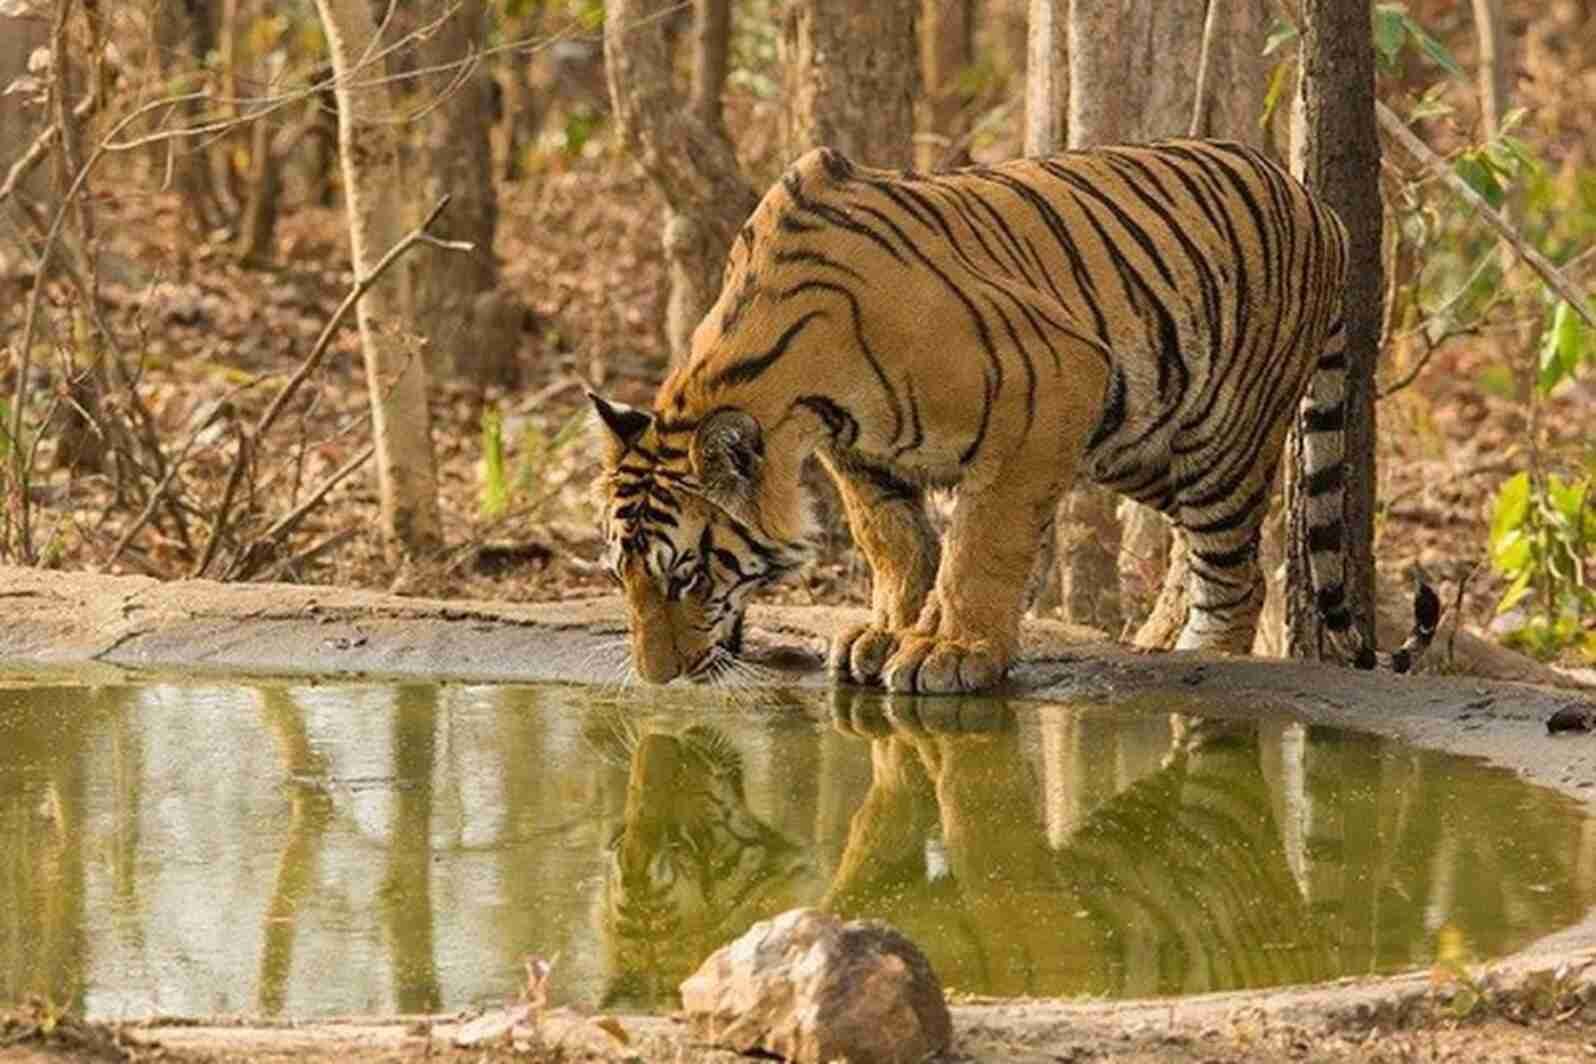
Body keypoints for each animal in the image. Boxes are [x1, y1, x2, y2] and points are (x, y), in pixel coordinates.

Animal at [593, 139, 1442, 692]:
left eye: (689, 574)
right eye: (619, 577)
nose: (658, 681)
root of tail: (1322, 207)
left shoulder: (1054, 384)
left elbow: (983, 543)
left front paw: (951, 651)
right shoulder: (861, 457)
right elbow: (895, 542)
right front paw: (888, 631)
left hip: (1218, 442)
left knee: (1235, 577)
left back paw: (1198, 662)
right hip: (1138, 441)